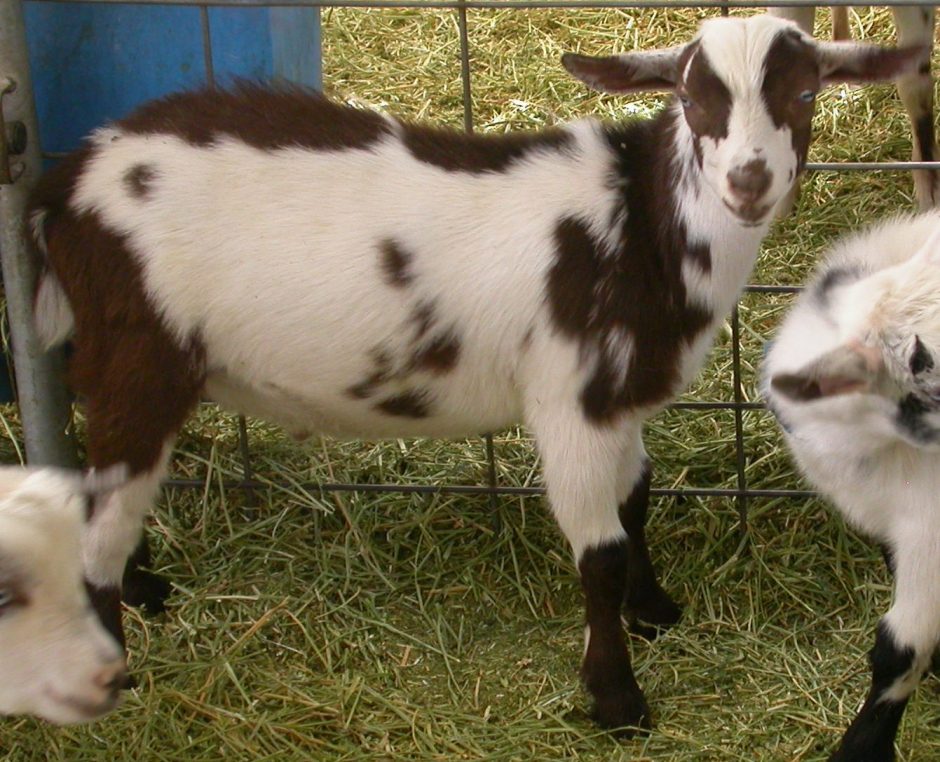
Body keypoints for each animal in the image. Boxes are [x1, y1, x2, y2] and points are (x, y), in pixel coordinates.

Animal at [27, 15, 923, 730]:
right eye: (694, 97)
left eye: (804, 92)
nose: (748, 180)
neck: (639, 224)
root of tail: (64, 186)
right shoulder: (569, 399)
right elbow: (597, 553)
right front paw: (617, 700)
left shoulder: (620, 396)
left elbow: (636, 498)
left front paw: (655, 610)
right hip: (140, 355)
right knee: (103, 508)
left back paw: (144, 590)